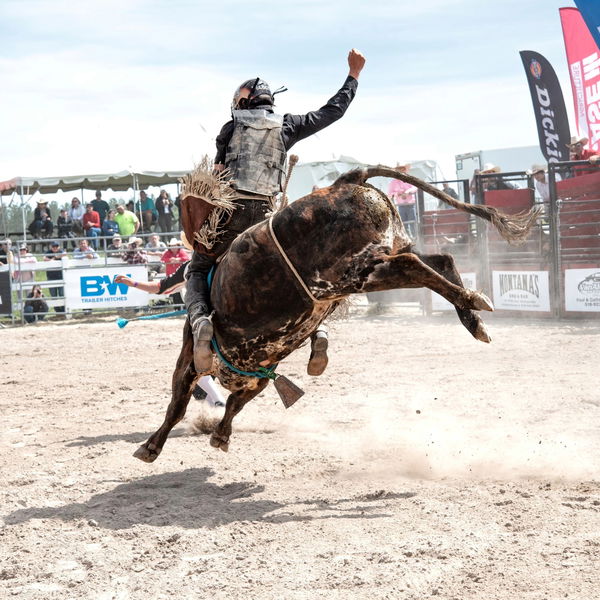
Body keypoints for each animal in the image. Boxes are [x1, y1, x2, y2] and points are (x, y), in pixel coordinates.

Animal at [135, 166, 540, 462]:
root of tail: (347, 180)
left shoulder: (192, 359)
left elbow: (178, 404)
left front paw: (151, 446)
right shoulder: (261, 369)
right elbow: (236, 401)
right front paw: (220, 435)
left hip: (351, 275)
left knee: (413, 266)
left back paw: (473, 301)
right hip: (385, 253)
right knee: (439, 259)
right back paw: (475, 318)